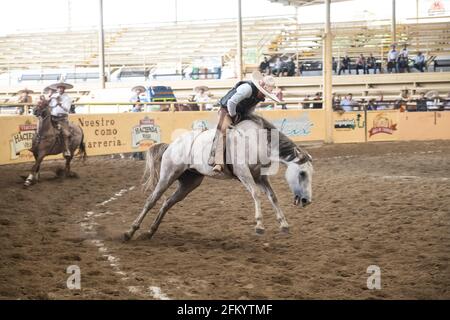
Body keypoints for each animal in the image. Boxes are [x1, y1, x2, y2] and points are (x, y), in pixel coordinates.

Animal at [123, 114, 312, 240]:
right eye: (302, 173)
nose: (307, 201)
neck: (255, 142)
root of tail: (172, 145)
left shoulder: (260, 177)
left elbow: (273, 196)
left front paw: (284, 224)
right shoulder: (244, 174)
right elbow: (256, 194)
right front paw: (259, 225)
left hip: (189, 183)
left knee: (167, 203)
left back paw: (151, 231)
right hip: (168, 175)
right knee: (151, 200)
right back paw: (130, 231)